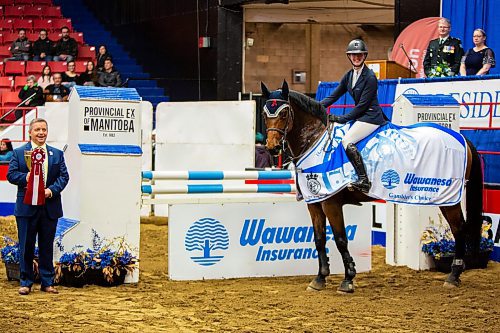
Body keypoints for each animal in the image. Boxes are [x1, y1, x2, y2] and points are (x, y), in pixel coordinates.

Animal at [262, 80, 484, 294]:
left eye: (283, 113)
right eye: (265, 115)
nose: (272, 148)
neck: (316, 141)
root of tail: (461, 138)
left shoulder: (331, 203)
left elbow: (341, 239)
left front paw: (348, 279)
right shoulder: (315, 202)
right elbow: (319, 239)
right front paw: (319, 279)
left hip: (448, 198)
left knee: (459, 229)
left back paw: (453, 276)